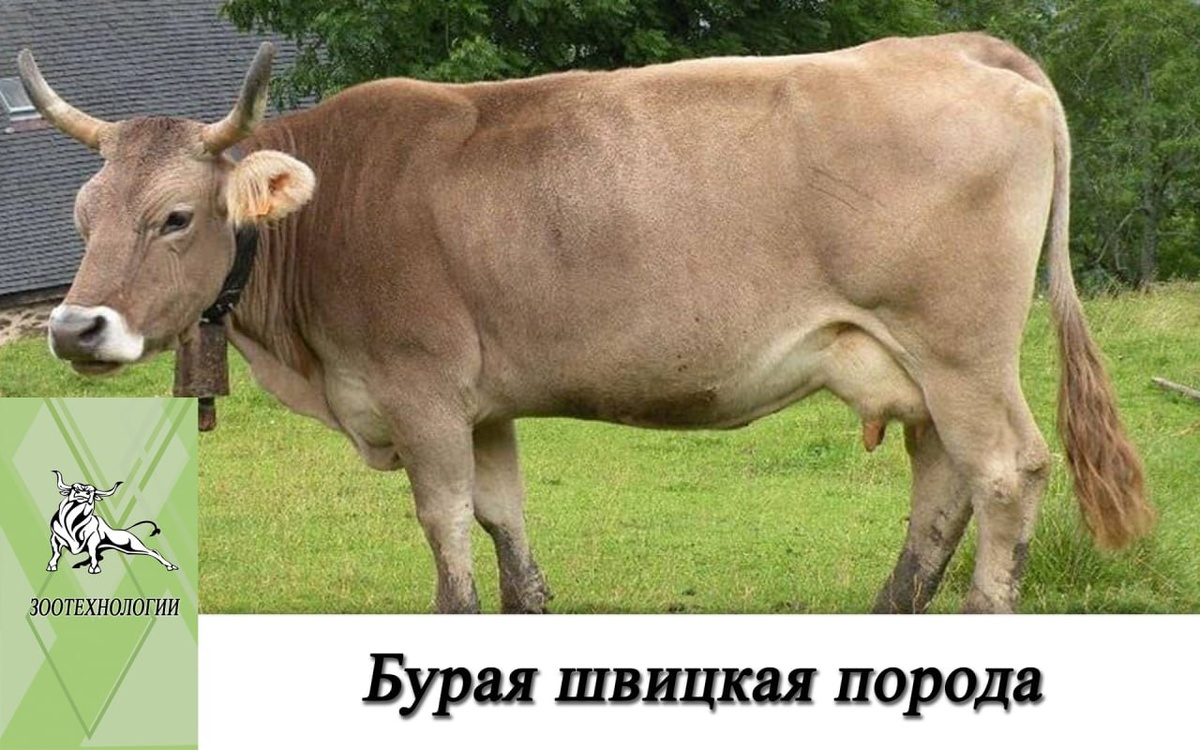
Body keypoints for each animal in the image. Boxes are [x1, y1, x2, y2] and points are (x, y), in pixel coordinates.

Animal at [47, 471, 178, 574]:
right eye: (75, 488)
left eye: (92, 491)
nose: (84, 493)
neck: (72, 523)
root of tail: (127, 532)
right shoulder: (54, 538)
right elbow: (56, 553)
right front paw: (51, 565)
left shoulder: (93, 540)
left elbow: (92, 553)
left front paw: (94, 568)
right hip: (129, 549)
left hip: (133, 545)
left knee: (153, 551)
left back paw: (170, 565)